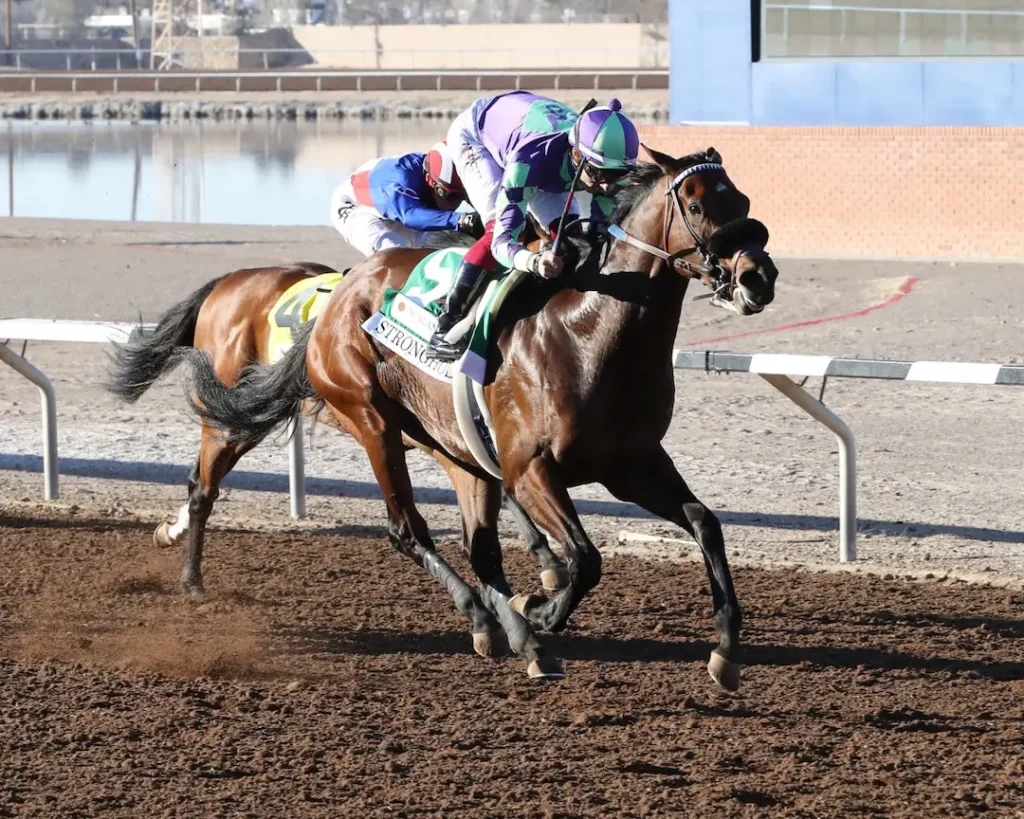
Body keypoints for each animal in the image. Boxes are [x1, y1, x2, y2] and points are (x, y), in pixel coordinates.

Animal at [107, 263, 567, 602]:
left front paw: (545, 562)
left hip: (248, 413)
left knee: (197, 481)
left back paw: (171, 532)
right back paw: (192, 581)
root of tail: (230, 280)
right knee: (204, 491)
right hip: (229, 413)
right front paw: (547, 561)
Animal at [183, 145, 779, 690]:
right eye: (697, 205)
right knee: (403, 528)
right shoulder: (529, 468)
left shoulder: (630, 464)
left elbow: (705, 523)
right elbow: (586, 558)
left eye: (744, 201)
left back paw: (514, 635)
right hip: (370, 420)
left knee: (481, 548)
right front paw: (542, 608)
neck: (588, 334)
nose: (758, 277)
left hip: (456, 449)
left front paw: (725, 651)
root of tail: (339, 295)